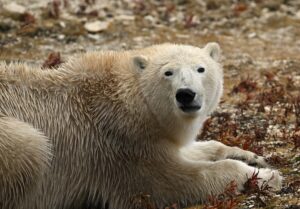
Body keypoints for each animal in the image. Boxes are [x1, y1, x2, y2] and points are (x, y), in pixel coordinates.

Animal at [0, 42, 282, 209]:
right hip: (18, 140)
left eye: (201, 68)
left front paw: (251, 156)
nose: (186, 94)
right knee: (31, 145)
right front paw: (269, 176)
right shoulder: (117, 147)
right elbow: (171, 183)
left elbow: (191, 149)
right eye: (168, 72)